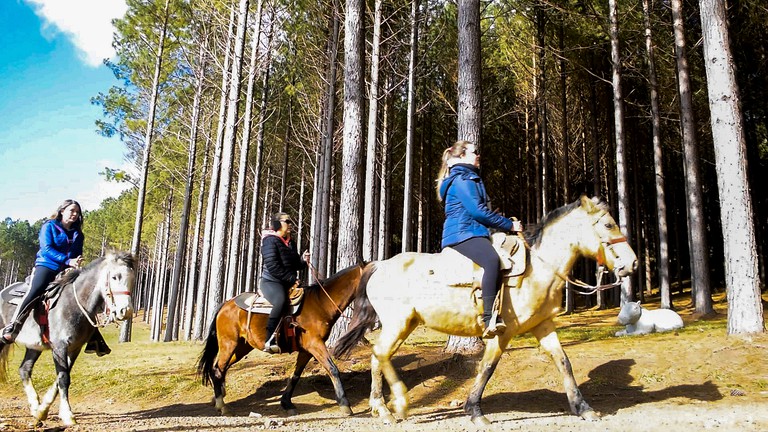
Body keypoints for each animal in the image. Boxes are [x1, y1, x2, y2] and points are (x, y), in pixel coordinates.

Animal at [196, 262, 368, 416]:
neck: (321, 304)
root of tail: (226, 304)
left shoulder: (307, 350)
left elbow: (295, 375)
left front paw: (286, 403)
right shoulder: (315, 344)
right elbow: (332, 369)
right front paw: (345, 404)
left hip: (241, 347)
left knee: (222, 368)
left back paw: (219, 397)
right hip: (228, 343)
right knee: (218, 369)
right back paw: (222, 405)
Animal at [332, 197, 640, 426]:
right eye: (609, 224)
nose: (633, 264)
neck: (538, 268)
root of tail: (379, 265)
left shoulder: (543, 325)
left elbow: (563, 361)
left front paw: (583, 407)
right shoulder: (503, 332)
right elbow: (488, 367)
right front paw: (475, 411)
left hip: (404, 325)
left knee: (377, 357)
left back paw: (381, 407)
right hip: (398, 324)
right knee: (381, 354)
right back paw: (397, 405)